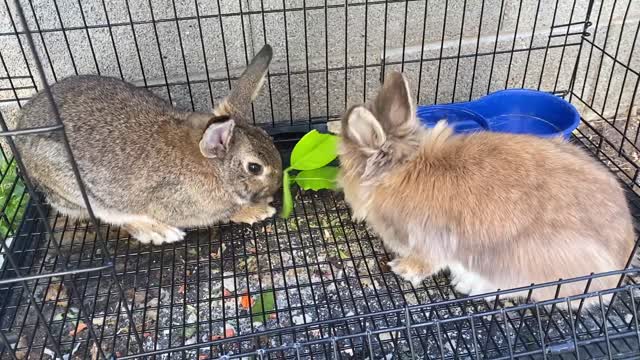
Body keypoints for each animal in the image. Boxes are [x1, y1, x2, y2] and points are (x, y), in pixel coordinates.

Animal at [13, 44, 280, 245]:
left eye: (268, 138)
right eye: (254, 168)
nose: (276, 187)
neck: (213, 167)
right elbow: (224, 214)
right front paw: (258, 210)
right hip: (77, 190)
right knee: (115, 217)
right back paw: (159, 232)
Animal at [340, 71, 636, 308]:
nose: (344, 189)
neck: (403, 171)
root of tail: (614, 273)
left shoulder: (428, 240)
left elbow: (426, 263)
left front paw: (402, 269)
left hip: (523, 260)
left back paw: (471, 286)